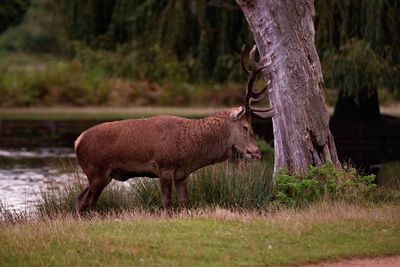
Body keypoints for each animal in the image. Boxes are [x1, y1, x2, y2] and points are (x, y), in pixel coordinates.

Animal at [73, 44, 274, 216]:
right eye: (245, 126)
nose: (256, 152)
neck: (191, 148)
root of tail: (77, 141)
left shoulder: (181, 174)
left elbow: (185, 203)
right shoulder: (164, 166)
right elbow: (167, 203)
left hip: (102, 175)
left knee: (82, 199)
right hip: (96, 171)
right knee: (87, 201)